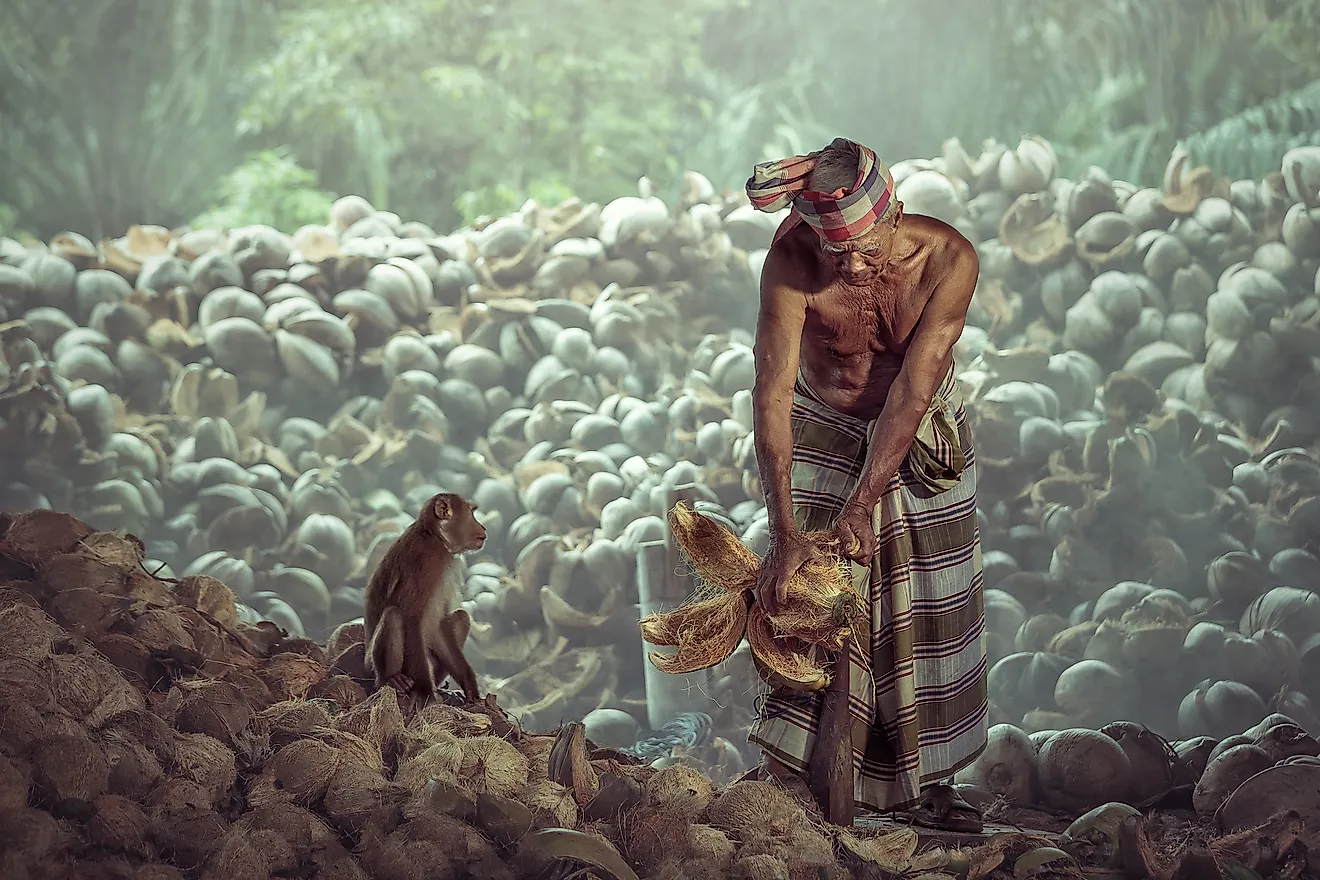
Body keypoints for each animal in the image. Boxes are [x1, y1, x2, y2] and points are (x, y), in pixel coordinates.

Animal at [361, 493, 485, 707]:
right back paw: (391, 679)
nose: (483, 528)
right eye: (471, 513)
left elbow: (437, 624)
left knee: (461, 618)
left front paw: (469, 685)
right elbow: (411, 617)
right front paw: (426, 693)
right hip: (373, 667)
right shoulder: (425, 563)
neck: (434, 538)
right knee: (394, 615)